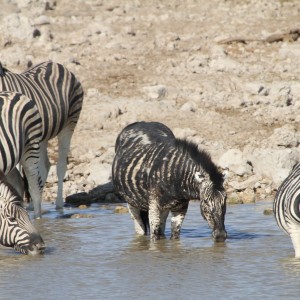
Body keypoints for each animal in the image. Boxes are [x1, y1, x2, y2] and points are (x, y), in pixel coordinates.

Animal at [0, 61, 84, 216]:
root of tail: (56, 64)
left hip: (69, 124)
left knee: (60, 166)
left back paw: (58, 205)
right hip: (42, 136)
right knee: (44, 166)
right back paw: (33, 206)